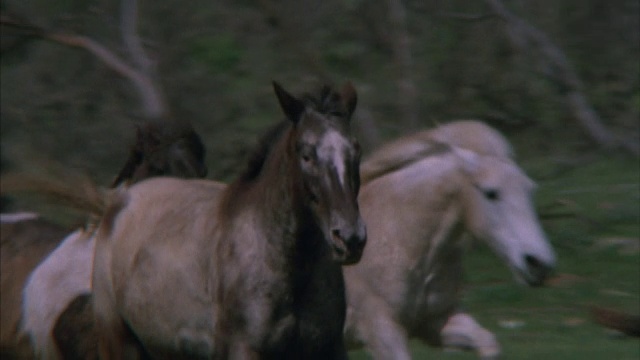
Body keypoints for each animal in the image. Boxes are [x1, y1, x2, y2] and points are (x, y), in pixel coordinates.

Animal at [342, 121, 556, 360]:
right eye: (491, 193)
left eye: (530, 189)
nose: (538, 264)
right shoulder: (381, 332)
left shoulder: (436, 322)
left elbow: (487, 343)